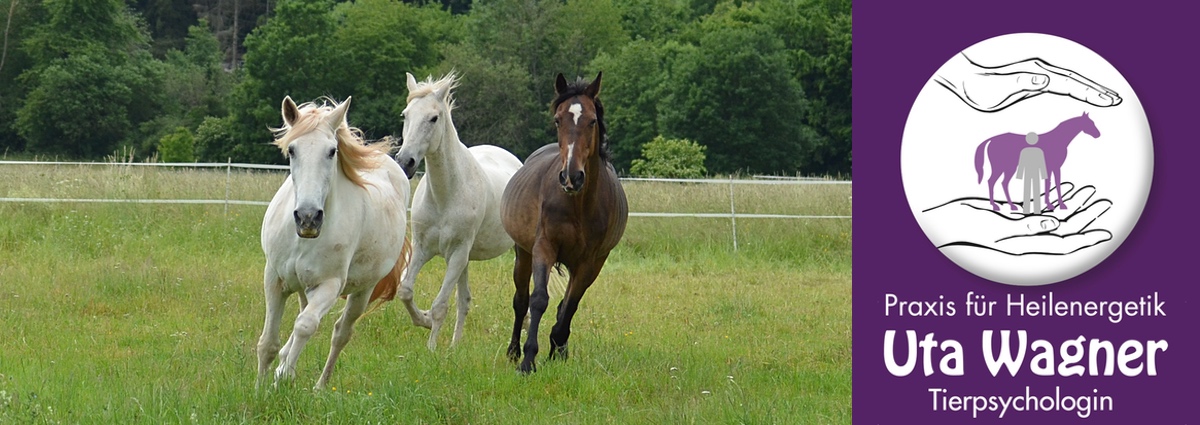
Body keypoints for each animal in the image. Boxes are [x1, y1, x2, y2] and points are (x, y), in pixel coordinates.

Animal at [257, 96, 411, 389]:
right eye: (292, 150)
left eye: (331, 151)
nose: (308, 218)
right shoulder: (274, 279)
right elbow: (268, 342)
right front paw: (261, 388)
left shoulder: (330, 284)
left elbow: (305, 326)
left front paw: (283, 378)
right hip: (305, 288)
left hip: (362, 291)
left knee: (340, 333)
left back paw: (319, 386)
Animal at [394, 72, 523, 350]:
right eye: (405, 115)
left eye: (434, 118)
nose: (405, 162)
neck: (446, 196)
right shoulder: (423, 248)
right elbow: (406, 291)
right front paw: (424, 320)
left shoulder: (456, 254)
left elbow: (440, 305)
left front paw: (431, 348)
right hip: (465, 259)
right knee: (464, 300)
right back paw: (454, 346)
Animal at [501, 72, 628, 373]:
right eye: (558, 119)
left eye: (592, 121)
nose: (572, 176)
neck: (578, 205)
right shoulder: (543, 248)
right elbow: (538, 300)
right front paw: (527, 361)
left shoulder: (589, 262)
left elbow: (569, 307)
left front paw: (556, 348)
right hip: (522, 254)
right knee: (520, 302)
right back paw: (513, 351)